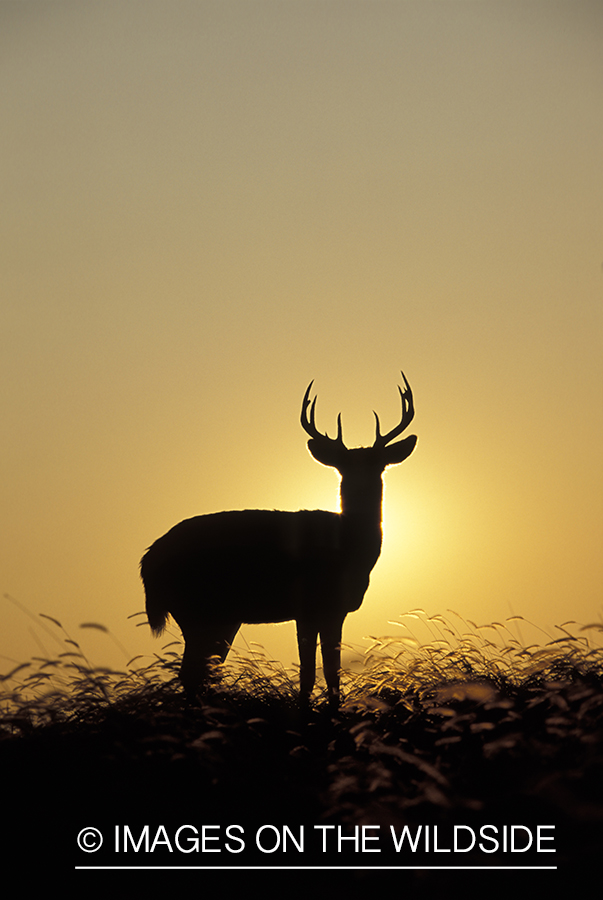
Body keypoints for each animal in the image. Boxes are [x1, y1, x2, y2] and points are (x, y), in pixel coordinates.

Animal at [139, 370, 418, 708]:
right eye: (343, 468)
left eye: (379, 464)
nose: (362, 485)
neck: (349, 549)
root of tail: (147, 561)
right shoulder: (314, 605)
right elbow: (317, 669)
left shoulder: (327, 610)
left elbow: (328, 669)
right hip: (198, 608)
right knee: (192, 673)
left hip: (218, 616)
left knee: (202, 671)